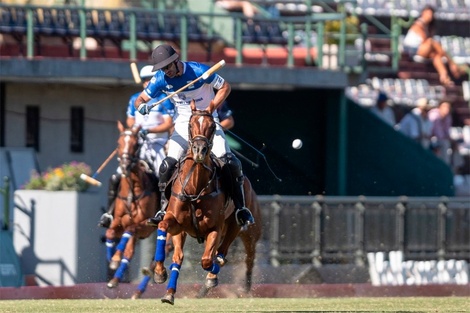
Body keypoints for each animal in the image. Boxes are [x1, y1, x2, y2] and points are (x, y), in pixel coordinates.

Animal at [104, 121, 160, 288]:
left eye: (136, 144)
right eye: (118, 143)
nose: (124, 166)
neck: (132, 190)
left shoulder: (145, 225)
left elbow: (130, 233)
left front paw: (115, 259)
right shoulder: (117, 221)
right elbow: (110, 232)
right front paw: (112, 259)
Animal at [152, 99, 258, 302]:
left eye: (212, 126)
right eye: (190, 125)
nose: (200, 150)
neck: (195, 188)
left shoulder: (215, 228)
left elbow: (208, 260)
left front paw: (211, 275)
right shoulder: (176, 223)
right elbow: (165, 232)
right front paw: (160, 274)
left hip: (235, 224)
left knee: (222, 251)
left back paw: (212, 276)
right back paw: (170, 291)